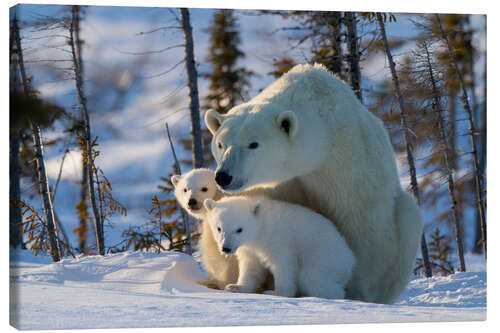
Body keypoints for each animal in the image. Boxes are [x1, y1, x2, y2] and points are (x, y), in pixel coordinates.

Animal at [206, 63, 422, 304]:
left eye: (253, 144)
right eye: (220, 143)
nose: (223, 176)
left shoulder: (349, 167)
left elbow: (363, 228)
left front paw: (357, 292)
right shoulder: (276, 184)